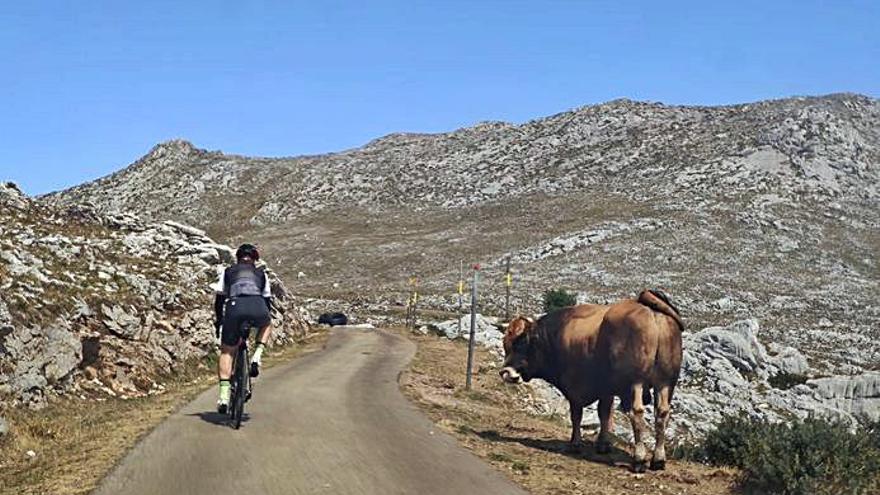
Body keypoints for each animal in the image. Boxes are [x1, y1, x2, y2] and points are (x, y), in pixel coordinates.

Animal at [502, 290, 680, 472]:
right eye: (505, 343)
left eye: (521, 342)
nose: (505, 372)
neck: (559, 332)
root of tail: (646, 306)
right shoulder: (606, 390)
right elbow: (604, 414)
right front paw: (603, 444)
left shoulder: (574, 388)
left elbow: (576, 416)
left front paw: (575, 443)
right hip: (665, 383)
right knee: (662, 413)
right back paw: (658, 459)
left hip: (635, 383)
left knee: (637, 413)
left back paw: (639, 459)